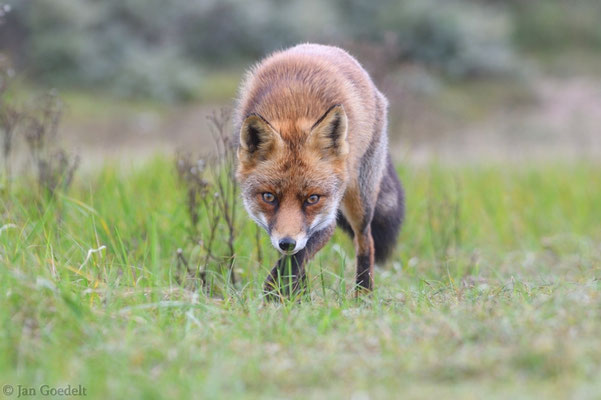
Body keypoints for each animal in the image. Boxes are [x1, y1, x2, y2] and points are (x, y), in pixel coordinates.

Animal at [234, 43, 404, 296]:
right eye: (269, 197)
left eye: (312, 198)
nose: (287, 242)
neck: (292, 109)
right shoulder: (278, 228)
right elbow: (293, 259)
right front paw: (295, 296)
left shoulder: (326, 216)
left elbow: (293, 259)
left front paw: (274, 293)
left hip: (359, 201)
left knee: (366, 241)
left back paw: (363, 293)